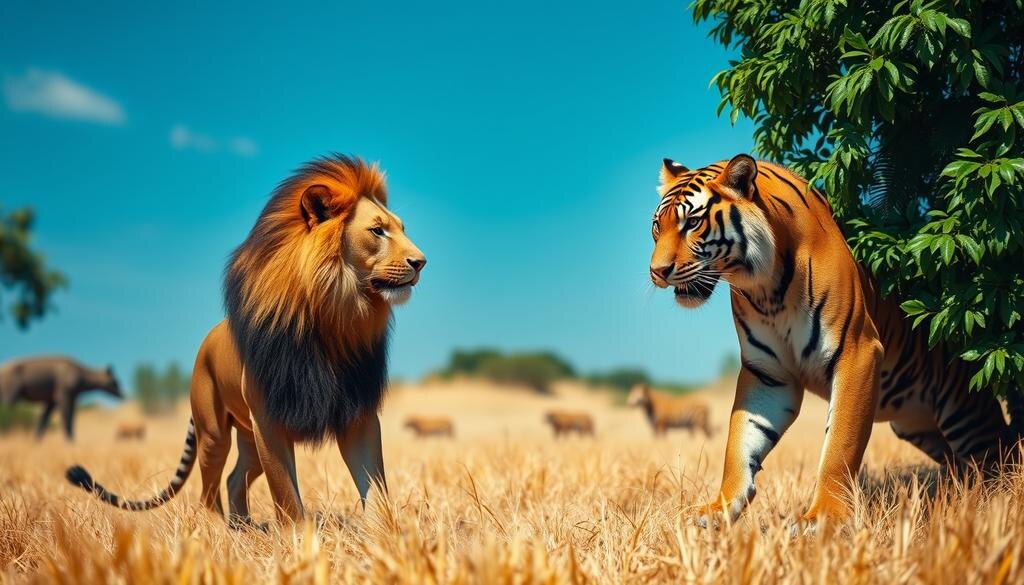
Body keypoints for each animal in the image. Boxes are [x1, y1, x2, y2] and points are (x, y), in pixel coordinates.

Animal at [66, 154, 426, 525]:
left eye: (402, 228)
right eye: (377, 230)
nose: (421, 262)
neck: (333, 316)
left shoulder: (357, 412)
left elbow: (375, 483)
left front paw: (384, 532)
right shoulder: (269, 420)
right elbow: (286, 494)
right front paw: (299, 536)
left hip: (249, 439)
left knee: (234, 478)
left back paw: (244, 528)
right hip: (214, 434)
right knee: (208, 489)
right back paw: (218, 531)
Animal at [648, 153, 1017, 524]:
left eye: (693, 222)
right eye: (656, 226)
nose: (657, 272)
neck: (766, 291)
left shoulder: (857, 353)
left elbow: (840, 444)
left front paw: (824, 517)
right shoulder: (768, 374)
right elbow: (740, 441)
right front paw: (718, 509)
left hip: (964, 413)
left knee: (997, 456)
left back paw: (993, 504)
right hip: (917, 425)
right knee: (961, 464)